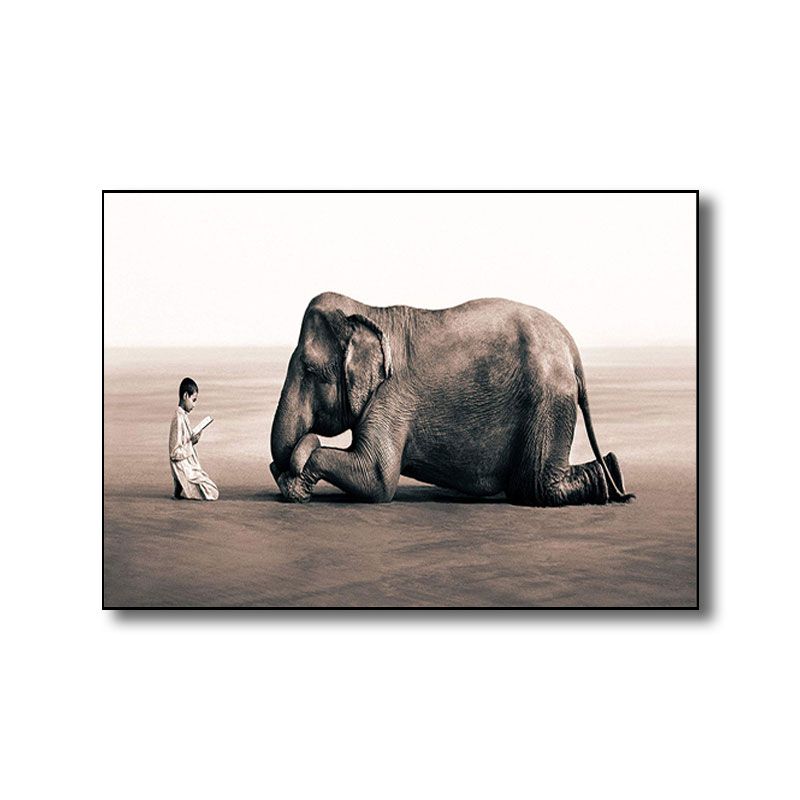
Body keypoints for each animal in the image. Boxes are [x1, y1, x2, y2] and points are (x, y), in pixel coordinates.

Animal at [270, 292, 634, 506]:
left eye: (309, 370)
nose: (281, 466)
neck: (370, 311)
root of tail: (572, 348)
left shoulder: (392, 396)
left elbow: (376, 478)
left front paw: (296, 480)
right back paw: (614, 473)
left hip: (549, 396)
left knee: (536, 487)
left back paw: (611, 474)